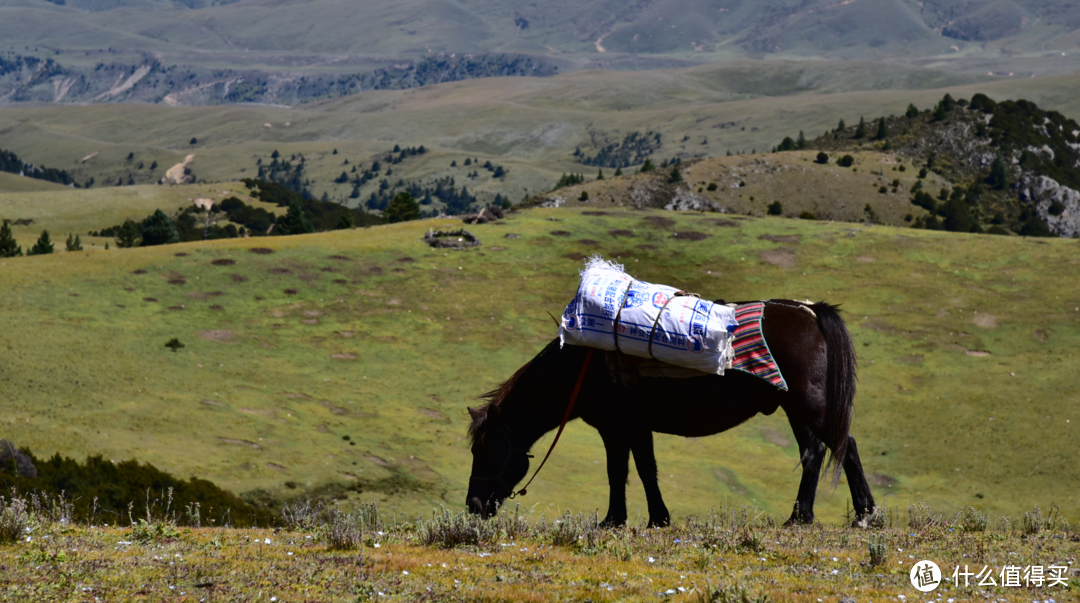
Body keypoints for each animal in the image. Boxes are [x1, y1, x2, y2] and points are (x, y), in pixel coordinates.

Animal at [466, 302, 876, 529]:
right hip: (797, 410)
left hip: (808, 406)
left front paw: (613, 520)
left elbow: (617, 472)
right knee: (820, 452)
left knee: (839, 448)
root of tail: (810, 312)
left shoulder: (615, 428)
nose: (474, 507)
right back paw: (820, 515)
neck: (581, 366)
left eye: (488, 450)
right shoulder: (637, 427)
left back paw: (847, 515)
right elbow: (646, 470)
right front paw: (658, 519)